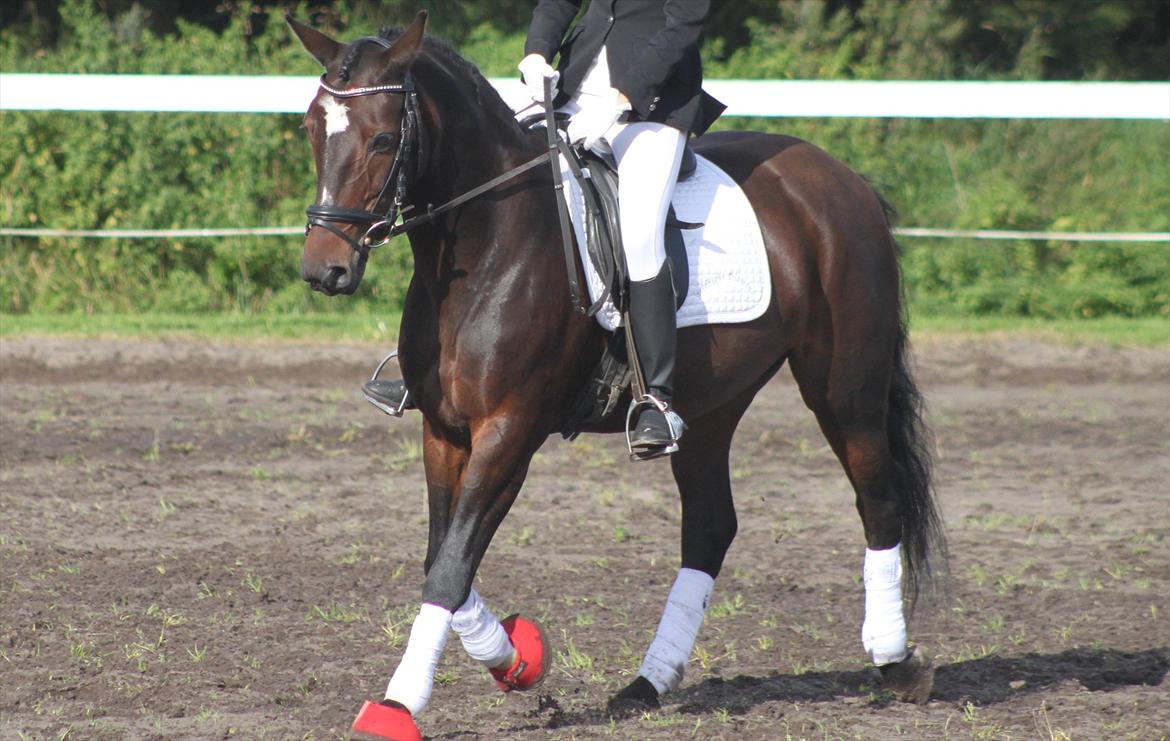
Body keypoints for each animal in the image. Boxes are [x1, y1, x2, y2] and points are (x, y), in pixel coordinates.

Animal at [287, 12, 945, 740]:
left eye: (381, 138)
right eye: (312, 129)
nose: (323, 270)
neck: (489, 243)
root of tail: (839, 176)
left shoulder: (510, 430)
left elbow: (452, 566)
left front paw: (397, 704)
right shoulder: (445, 431)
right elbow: (444, 558)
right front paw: (517, 658)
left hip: (845, 386)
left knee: (876, 498)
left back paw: (896, 662)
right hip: (709, 407)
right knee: (710, 526)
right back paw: (646, 683)